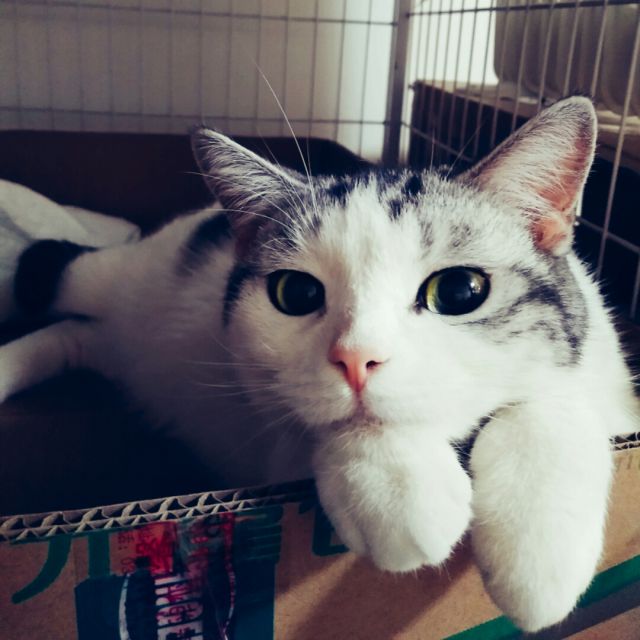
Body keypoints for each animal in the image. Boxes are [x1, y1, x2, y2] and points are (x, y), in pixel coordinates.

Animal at [1, 96, 636, 632]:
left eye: (459, 291)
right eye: (296, 294)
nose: (355, 358)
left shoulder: (612, 395)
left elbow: (545, 404)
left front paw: (540, 554)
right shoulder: (271, 445)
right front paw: (397, 488)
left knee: (78, 333)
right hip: (116, 277)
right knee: (57, 281)